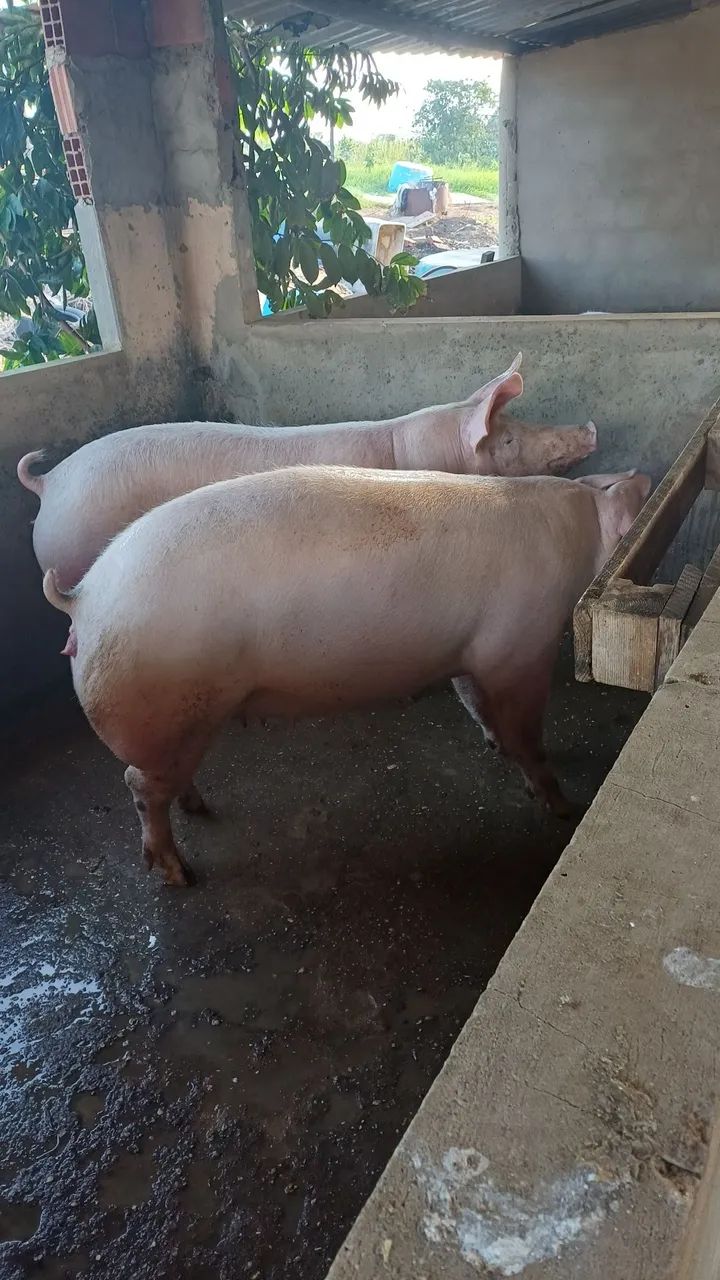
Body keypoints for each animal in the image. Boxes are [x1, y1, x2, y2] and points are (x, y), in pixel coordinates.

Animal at [43, 464, 650, 888]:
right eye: (636, 500)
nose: (644, 476)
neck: (577, 537)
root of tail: (84, 598)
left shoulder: (470, 653)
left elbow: (475, 703)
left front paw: (493, 746)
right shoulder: (519, 647)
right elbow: (526, 732)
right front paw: (564, 806)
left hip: (183, 723)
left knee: (165, 779)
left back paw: (197, 807)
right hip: (165, 706)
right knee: (138, 786)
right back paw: (179, 874)